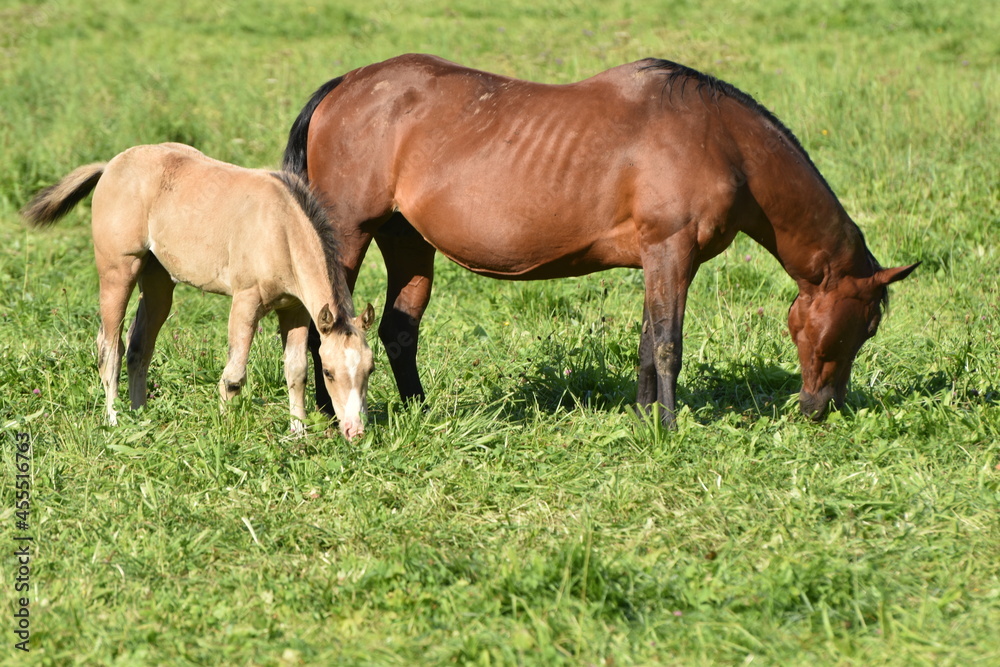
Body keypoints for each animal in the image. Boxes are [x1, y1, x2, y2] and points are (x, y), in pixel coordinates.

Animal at [23, 142, 376, 438]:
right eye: (329, 373)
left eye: (369, 370)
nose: (355, 431)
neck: (281, 227)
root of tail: (110, 165)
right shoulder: (246, 301)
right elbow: (234, 375)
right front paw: (225, 430)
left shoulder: (294, 309)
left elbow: (296, 370)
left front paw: (298, 434)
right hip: (118, 272)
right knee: (110, 348)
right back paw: (113, 420)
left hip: (158, 283)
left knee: (139, 347)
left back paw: (141, 416)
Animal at [282, 54, 916, 426]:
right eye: (865, 326)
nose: (821, 409)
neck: (721, 139)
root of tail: (343, 86)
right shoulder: (672, 252)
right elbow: (668, 343)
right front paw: (669, 427)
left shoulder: (661, 260)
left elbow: (647, 341)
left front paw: (642, 418)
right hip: (349, 234)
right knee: (324, 327)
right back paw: (330, 413)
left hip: (407, 241)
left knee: (399, 329)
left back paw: (421, 412)